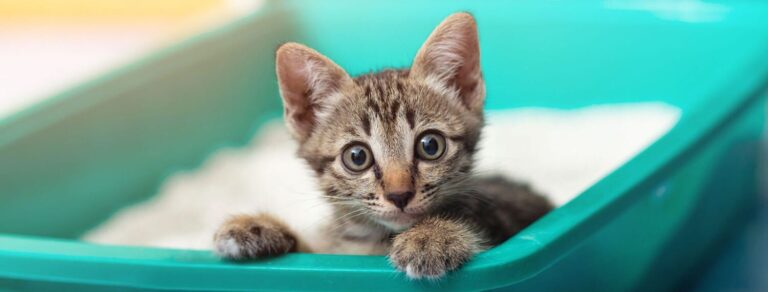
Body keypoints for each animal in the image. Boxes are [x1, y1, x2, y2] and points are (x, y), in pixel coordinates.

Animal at [214, 12, 552, 280]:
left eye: (430, 145)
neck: (377, 240)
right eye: (357, 156)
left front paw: (432, 236)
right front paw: (257, 227)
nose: (399, 195)